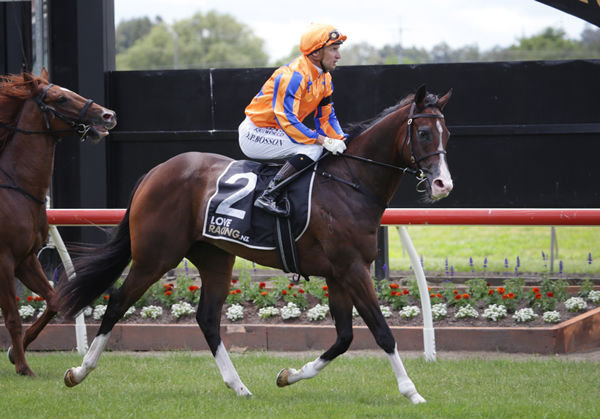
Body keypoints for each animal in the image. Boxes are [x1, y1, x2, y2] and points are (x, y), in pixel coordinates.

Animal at [0, 69, 116, 378]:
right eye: (61, 98)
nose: (108, 115)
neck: (16, 189)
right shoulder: (4, 260)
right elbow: (12, 316)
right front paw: (24, 366)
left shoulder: (26, 259)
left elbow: (53, 301)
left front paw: (15, 351)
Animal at [59, 84, 450, 404]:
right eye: (424, 133)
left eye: (447, 133)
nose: (443, 184)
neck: (350, 182)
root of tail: (154, 173)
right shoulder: (352, 269)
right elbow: (382, 332)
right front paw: (412, 392)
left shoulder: (340, 272)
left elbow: (343, 338)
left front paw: (289, 375)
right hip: (155, 256)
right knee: (117, 302)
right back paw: (79, 371)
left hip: (214, 257)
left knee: (207, 318)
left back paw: (239, 386)